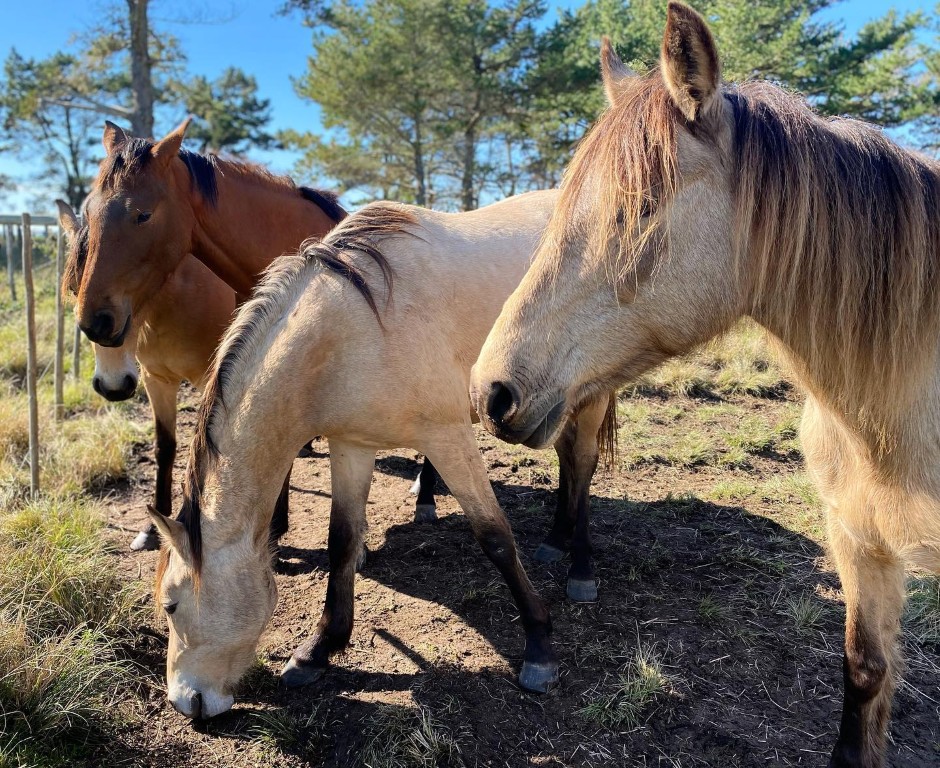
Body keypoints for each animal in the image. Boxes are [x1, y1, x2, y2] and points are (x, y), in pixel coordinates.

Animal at [147, 188, 624, 719]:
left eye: (171, 604)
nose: (184, 701)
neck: (356, 326)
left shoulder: (448, 438)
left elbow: (495, 537)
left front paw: (539, 648)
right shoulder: (351, 445)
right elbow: (342, 540)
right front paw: (318, 650)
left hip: (587, 395)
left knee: (582, 465)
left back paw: (580, 568)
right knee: (566, 462)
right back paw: (555, 541)